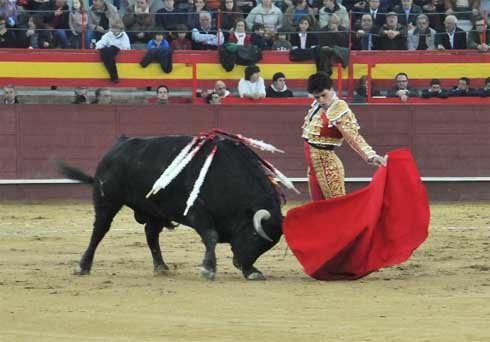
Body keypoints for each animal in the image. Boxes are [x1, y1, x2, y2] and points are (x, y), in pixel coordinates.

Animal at [57, 135, 286, 280]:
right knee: (100, 230)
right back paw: (82, 266)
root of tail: (118, 145)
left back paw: (161, 267)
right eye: (255, 236)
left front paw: (253, 271)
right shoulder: (197, 212)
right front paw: (208, 269)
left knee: (151, 234)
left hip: (155, 211)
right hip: (108, 200)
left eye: (267, 245)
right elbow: (210, 236)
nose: (241, 264)